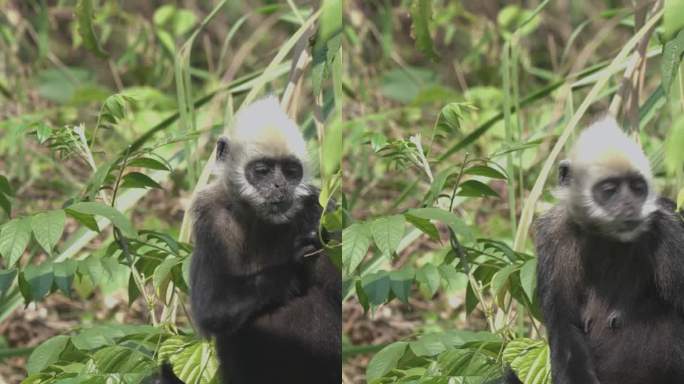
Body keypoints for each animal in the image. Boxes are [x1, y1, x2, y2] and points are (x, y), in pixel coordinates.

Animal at [163, 97, 340, 384]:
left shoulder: (319, 208)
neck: (262, 220)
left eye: (291, 172)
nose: (281, 187)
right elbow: (213, 307)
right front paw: (296, 260)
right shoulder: (209, 216)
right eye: (263, 171)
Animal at [536, 117, 684, 384]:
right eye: (609, 190)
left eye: (637, 188)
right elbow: (566, 329)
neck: (604, 238)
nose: (630, 206)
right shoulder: (551, 236)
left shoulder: (669, 230)